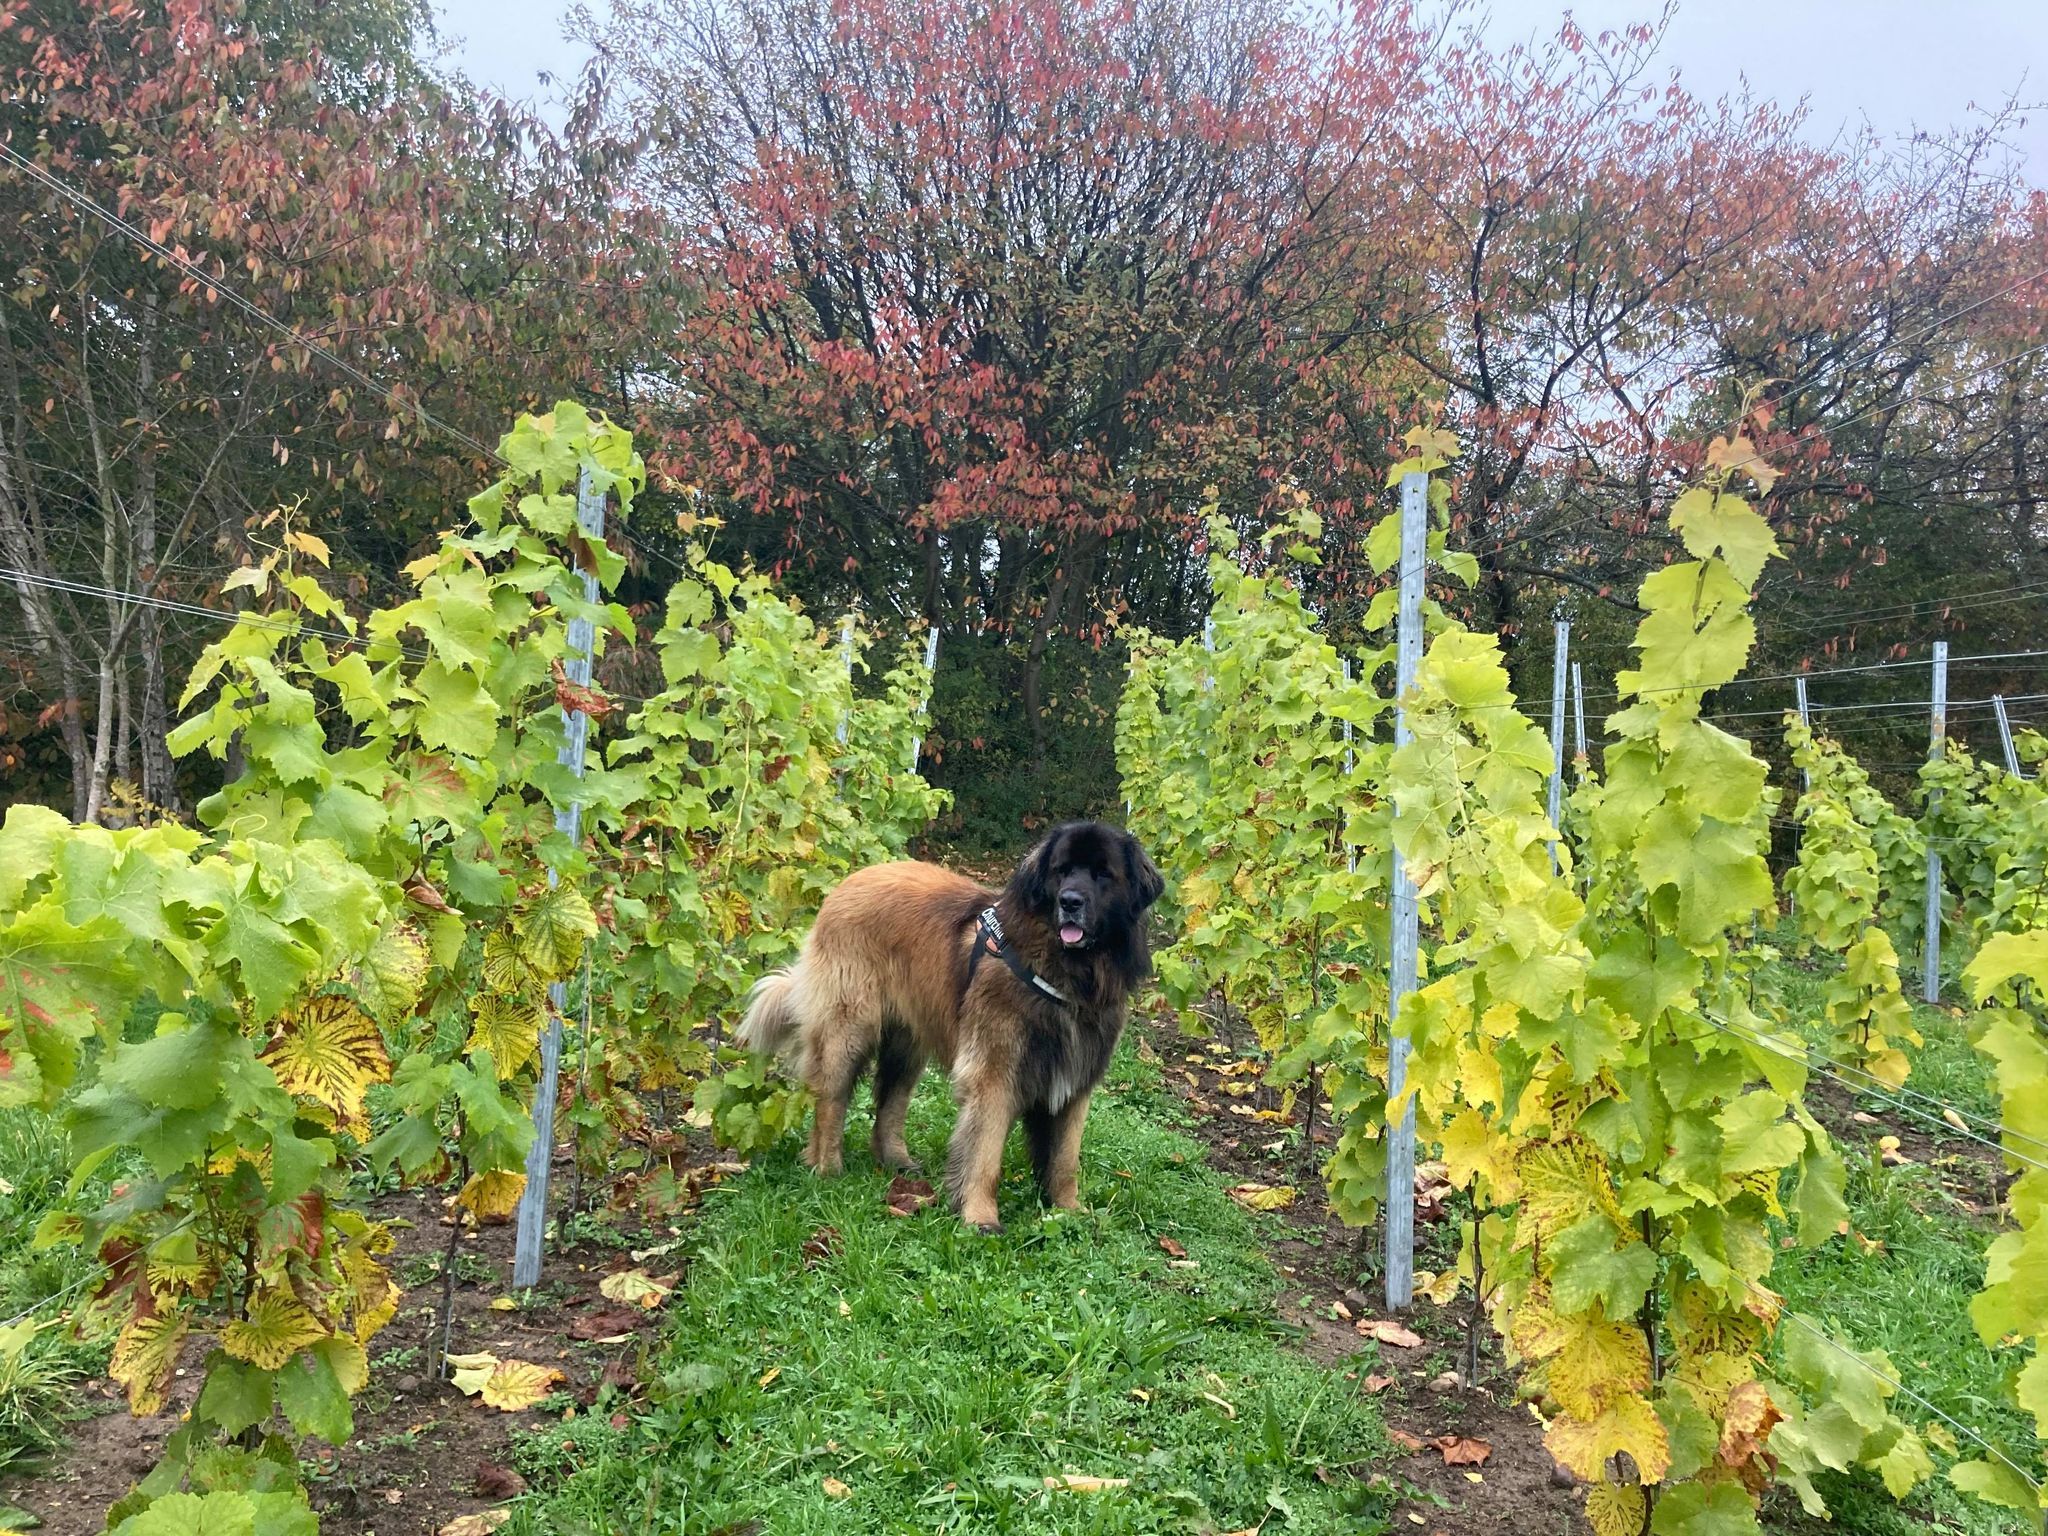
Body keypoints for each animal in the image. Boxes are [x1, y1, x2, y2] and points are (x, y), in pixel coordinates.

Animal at [737, 823, 1163, 1236]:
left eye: (1103, 874)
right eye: (1062, 871)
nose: (1070, 902)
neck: (1067, 972)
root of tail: (847, 883)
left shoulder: (1075, 1078)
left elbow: (1065, 1159)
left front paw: (1068, 1210)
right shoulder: (993, 1075)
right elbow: (984, 1152)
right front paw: (979, 1217)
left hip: (907, 1043)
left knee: (890, 1101)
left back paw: (896, 1161)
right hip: (847, 1030)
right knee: (831, 1098)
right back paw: (826, 1167)